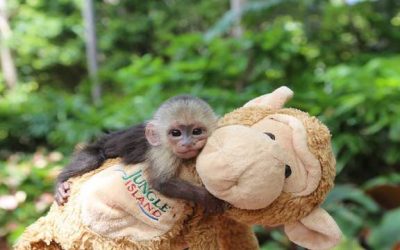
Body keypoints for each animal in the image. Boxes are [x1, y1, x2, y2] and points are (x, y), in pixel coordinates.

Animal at [55, 95, 225, 215]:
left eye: (197, 131)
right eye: (176, 133)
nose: (187, 143)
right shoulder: (163, 152)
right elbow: (161, 182)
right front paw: (208, 198)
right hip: (95, 148)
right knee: (91, 159)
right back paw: (60, 183)